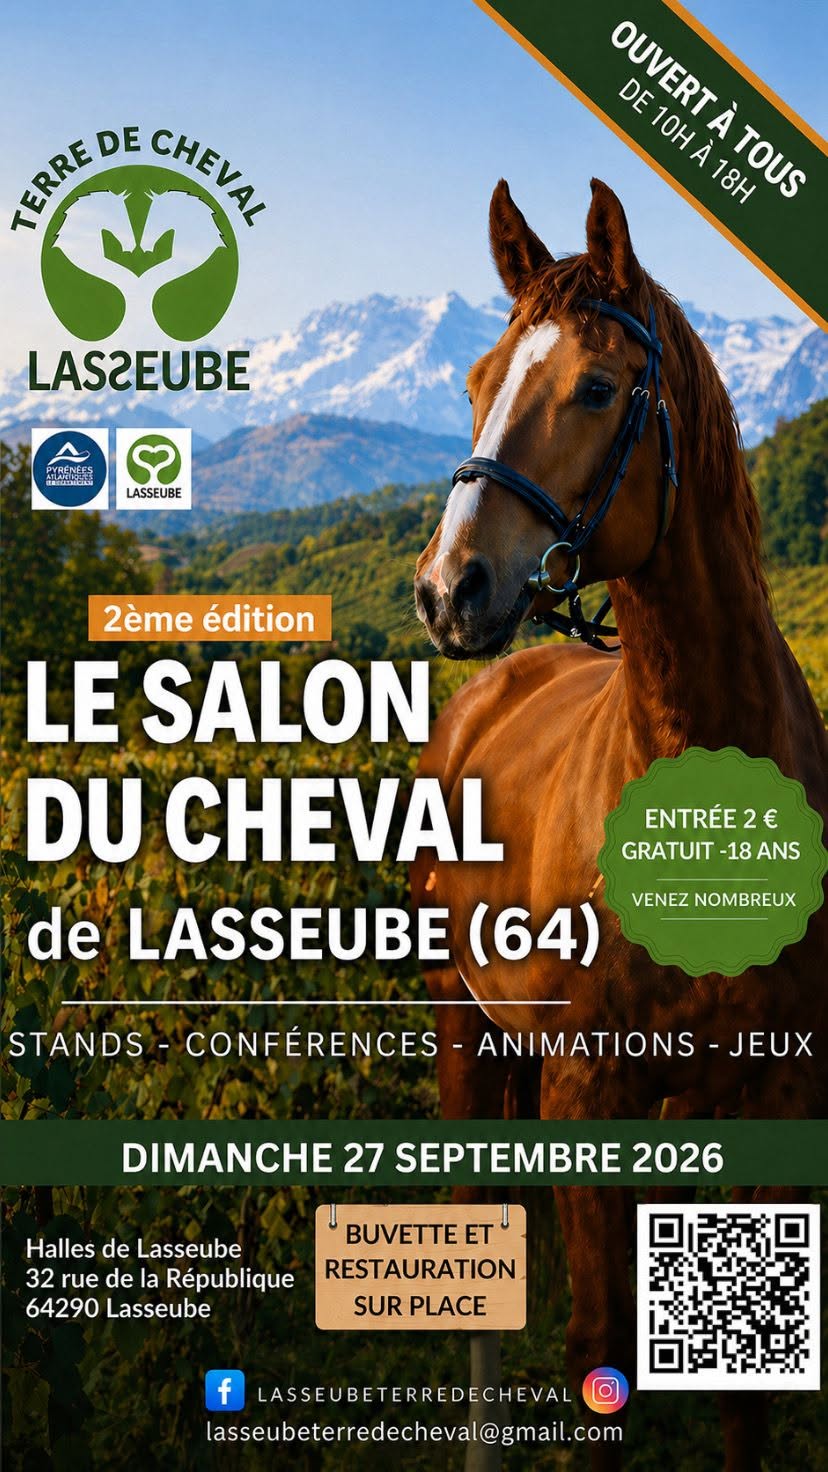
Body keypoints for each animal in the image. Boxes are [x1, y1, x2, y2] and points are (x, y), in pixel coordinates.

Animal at [410, 178, 827, 1470]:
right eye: (477, 377)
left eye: (597, 388)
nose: (448, 590)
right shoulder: (585, 1093)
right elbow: (598, 1352)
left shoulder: (774, 1104)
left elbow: (747, 1385)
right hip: (463, 1026)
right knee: (477, 1238)